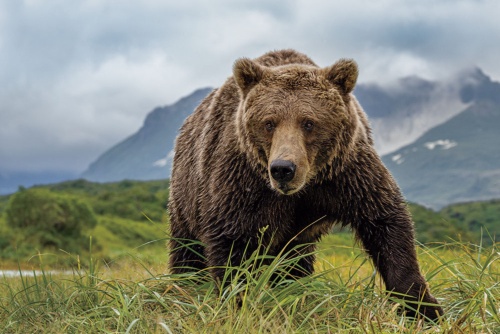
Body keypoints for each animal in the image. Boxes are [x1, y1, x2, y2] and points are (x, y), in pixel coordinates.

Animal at [168, 49, 442, 318]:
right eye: (269, 123)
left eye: (308, 122)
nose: (283, 169)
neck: (305, 185)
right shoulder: (243, 181)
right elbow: (234, 242)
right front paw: (238, 302)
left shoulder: (346, 173)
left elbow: (385, 222)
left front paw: (423, 308)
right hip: (186, 196)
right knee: (187, 251)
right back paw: (183, 288)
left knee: (294, 263)